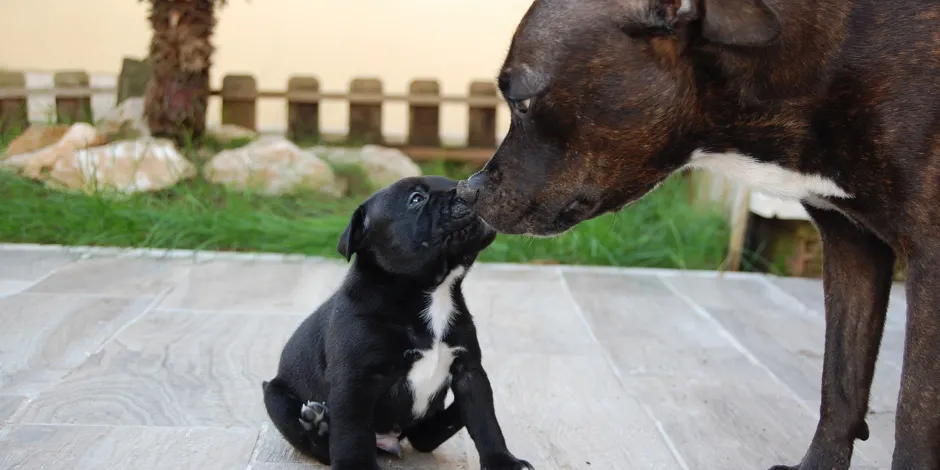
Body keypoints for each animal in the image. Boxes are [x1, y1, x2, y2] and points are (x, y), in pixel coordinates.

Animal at [260, 176, 532, 470]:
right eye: (416, 199)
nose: (469, 188)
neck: (431, 292)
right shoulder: (354, 381)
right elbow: (352, 433)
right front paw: (357, 466)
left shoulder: (469, 371)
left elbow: (486, 422)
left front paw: (504, 461)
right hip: (275, 397)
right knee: (318, 446)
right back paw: (318, 424)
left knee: (426, 437)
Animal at [458, 0, 940, 470]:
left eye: (520, 101)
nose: (468, 190)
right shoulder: (850, 246)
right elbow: (839, 384)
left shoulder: (928, 265)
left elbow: (915, 416)